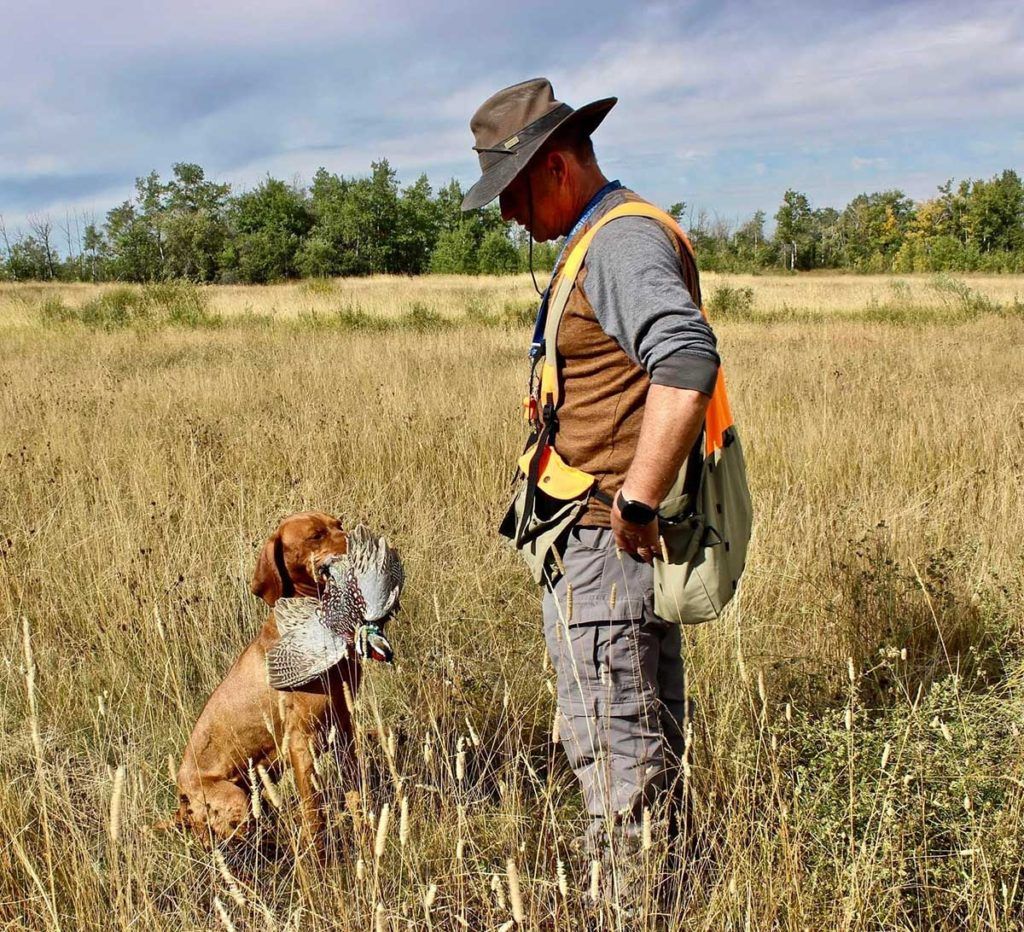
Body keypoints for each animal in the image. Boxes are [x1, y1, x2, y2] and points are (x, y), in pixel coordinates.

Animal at [168, 514, 360, 843]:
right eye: (315, 535)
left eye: (339, 523)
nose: (360, 539)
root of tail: (181, 808)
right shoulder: (300, 743)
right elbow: (314, 816)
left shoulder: (343, 725)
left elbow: (356, 791)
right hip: (236, 799)